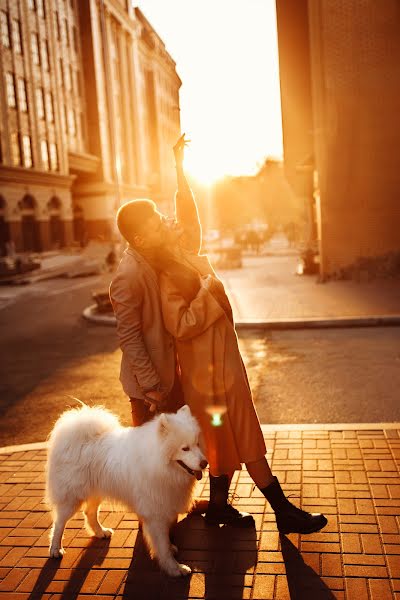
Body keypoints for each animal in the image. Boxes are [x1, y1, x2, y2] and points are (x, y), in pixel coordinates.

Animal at [45, 404, 206, 576]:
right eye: (185, 448)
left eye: (197, 444)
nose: (205, 463)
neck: (160, 465)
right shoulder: (156, 515)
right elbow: (162, 545)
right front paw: (175, 568)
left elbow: (165, 540)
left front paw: (171, 551)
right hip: (71, 498)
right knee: (59, 522)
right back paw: (55, 549)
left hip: (96, 492)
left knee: (89, 513)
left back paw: (101, 532)